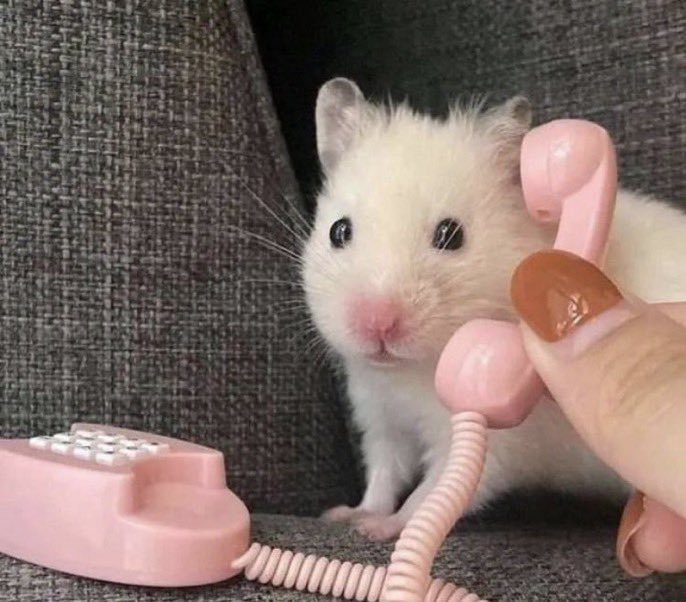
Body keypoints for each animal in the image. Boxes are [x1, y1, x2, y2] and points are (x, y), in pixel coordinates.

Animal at [302, 77, 686, 541]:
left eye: (451, 235)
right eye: (338, 231)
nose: (377, 324)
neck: (411, 371)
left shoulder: (493, 439)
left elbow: (433, 491)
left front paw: (378, 528)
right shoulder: (380, 415)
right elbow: (383, 472)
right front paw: (348, 515)